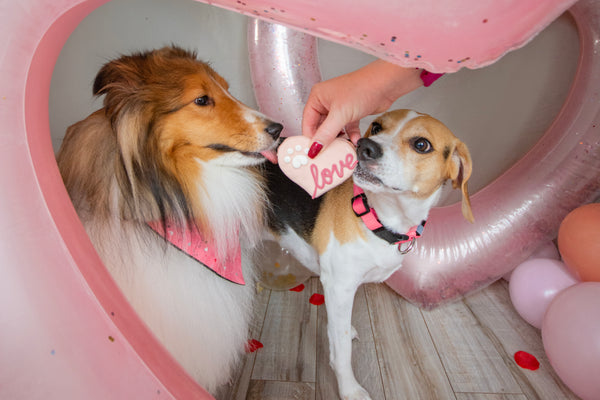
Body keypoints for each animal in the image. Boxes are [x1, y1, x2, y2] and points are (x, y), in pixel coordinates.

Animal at [262, 109, 474, 400]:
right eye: (376, 127)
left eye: (422, 145)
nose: (365, 147)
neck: (376, 217)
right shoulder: (339, 286)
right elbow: (343, 350)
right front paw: (350, 389)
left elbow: (337, 332)